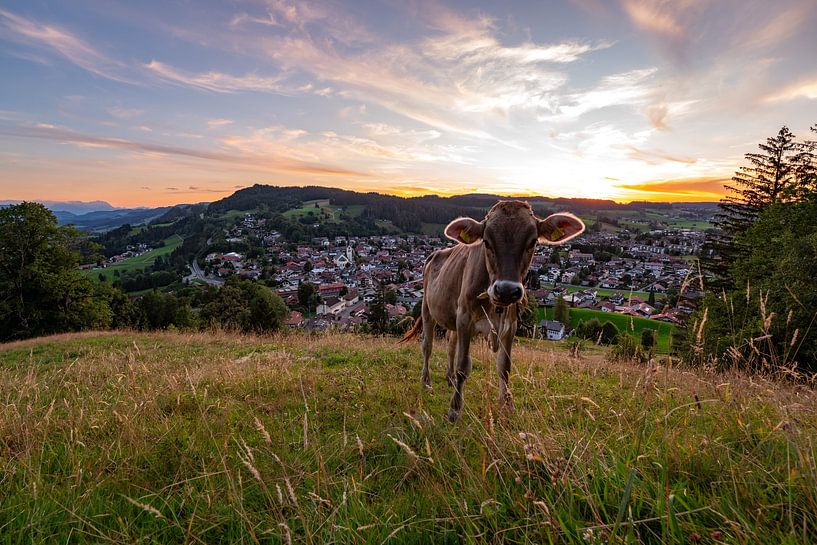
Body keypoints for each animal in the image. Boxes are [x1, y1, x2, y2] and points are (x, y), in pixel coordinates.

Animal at [401, 201, 585, 422]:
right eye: (486, 242)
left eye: (532, 242)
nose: (506, 290)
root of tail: (434, 254)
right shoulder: (465, 320)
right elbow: (463, 366)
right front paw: (454, 409)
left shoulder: (510, 326)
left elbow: (504, 368)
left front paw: (506, 404)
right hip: (428, 310)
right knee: (427, 346)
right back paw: (426, 381)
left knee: (450, 343)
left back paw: (449, 378)